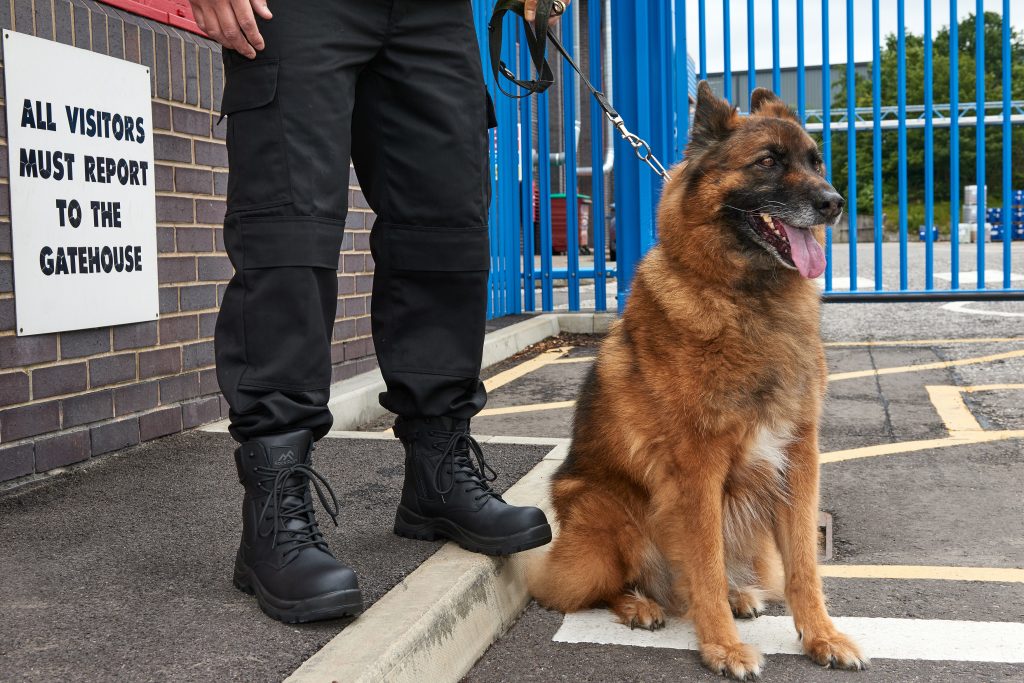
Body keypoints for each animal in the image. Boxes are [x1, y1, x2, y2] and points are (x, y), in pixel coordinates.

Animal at [532, 81, 868, 679]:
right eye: (767, 162)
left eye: (815, 162)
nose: (833, 203)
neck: (747, 300)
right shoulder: (698, 469)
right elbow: (706, 563)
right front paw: (722, 648)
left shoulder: (799, 456)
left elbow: (804, 565)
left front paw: (821, 637)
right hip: (606, 512)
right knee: (598, 588)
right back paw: (641, 605)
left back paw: (737, 595)